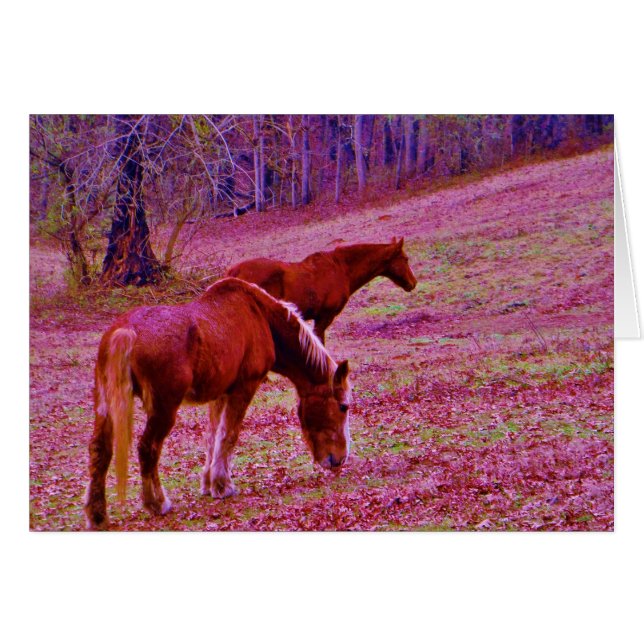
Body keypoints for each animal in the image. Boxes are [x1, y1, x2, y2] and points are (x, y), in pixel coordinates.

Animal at [84, 277, 352, 530]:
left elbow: (213, 437)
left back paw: (97, 515)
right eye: (343, 406)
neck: (259, 315)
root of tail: (126, 331)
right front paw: (223, 486)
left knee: (100, 450)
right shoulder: (244, 388)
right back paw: (157, 503)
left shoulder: (221, 393)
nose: (339, 459)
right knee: (147, 449)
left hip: (106, 406)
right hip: (163, 409)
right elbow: (228, 435)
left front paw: (208, 482)